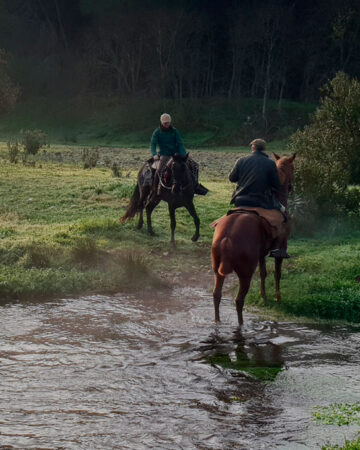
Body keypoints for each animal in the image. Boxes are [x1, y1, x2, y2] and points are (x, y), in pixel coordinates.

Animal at [211, 153, 296, 326]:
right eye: (293, 168)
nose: (291, 187)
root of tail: (227, 237)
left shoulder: (261, 253)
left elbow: (263, 273)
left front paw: (263, 296)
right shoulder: (281, 248)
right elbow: (277, 273)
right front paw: (277, 297)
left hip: (218, 271)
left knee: (216, 295)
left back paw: (217, 321)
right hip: (245, 274)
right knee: (239, 301)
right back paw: (241, 325)